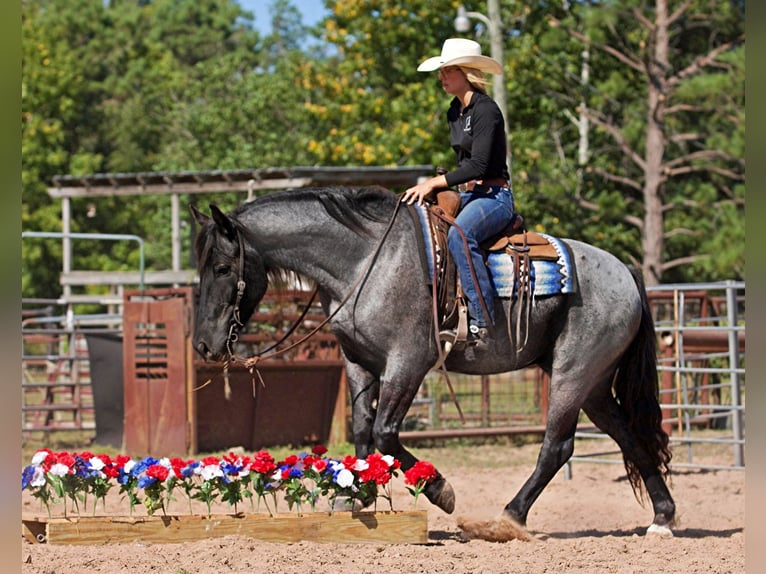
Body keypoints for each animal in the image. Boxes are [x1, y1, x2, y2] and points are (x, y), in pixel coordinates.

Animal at [192, 187, 680, 544]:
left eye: (222, 268)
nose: (203, 346)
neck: (365, 261)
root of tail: (626, 272)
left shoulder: (408, 362)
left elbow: (386, 433)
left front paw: (440, 490)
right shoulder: (359, 362)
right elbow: (363, 432)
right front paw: (356, 498)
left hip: (571, 376)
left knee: (557, 447)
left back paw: (506, 519)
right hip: (594, 386)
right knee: (629, 437)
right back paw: (662, 518)